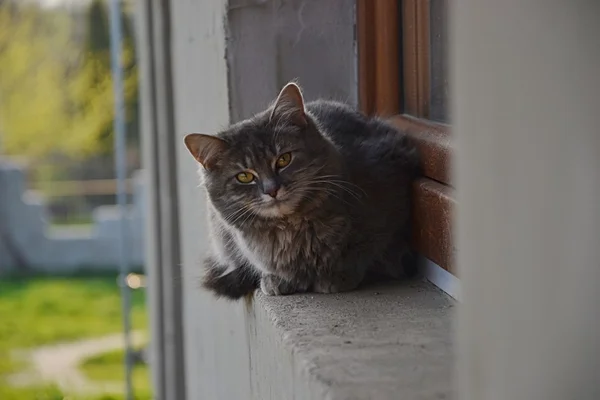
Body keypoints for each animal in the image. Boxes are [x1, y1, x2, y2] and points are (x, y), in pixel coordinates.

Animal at [183, 82, 418, 300]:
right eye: (244, 177)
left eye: (283, 159)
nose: (272, 189)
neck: (292, 227)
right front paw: (279, 280)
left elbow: (364, 251)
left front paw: (337, 276)